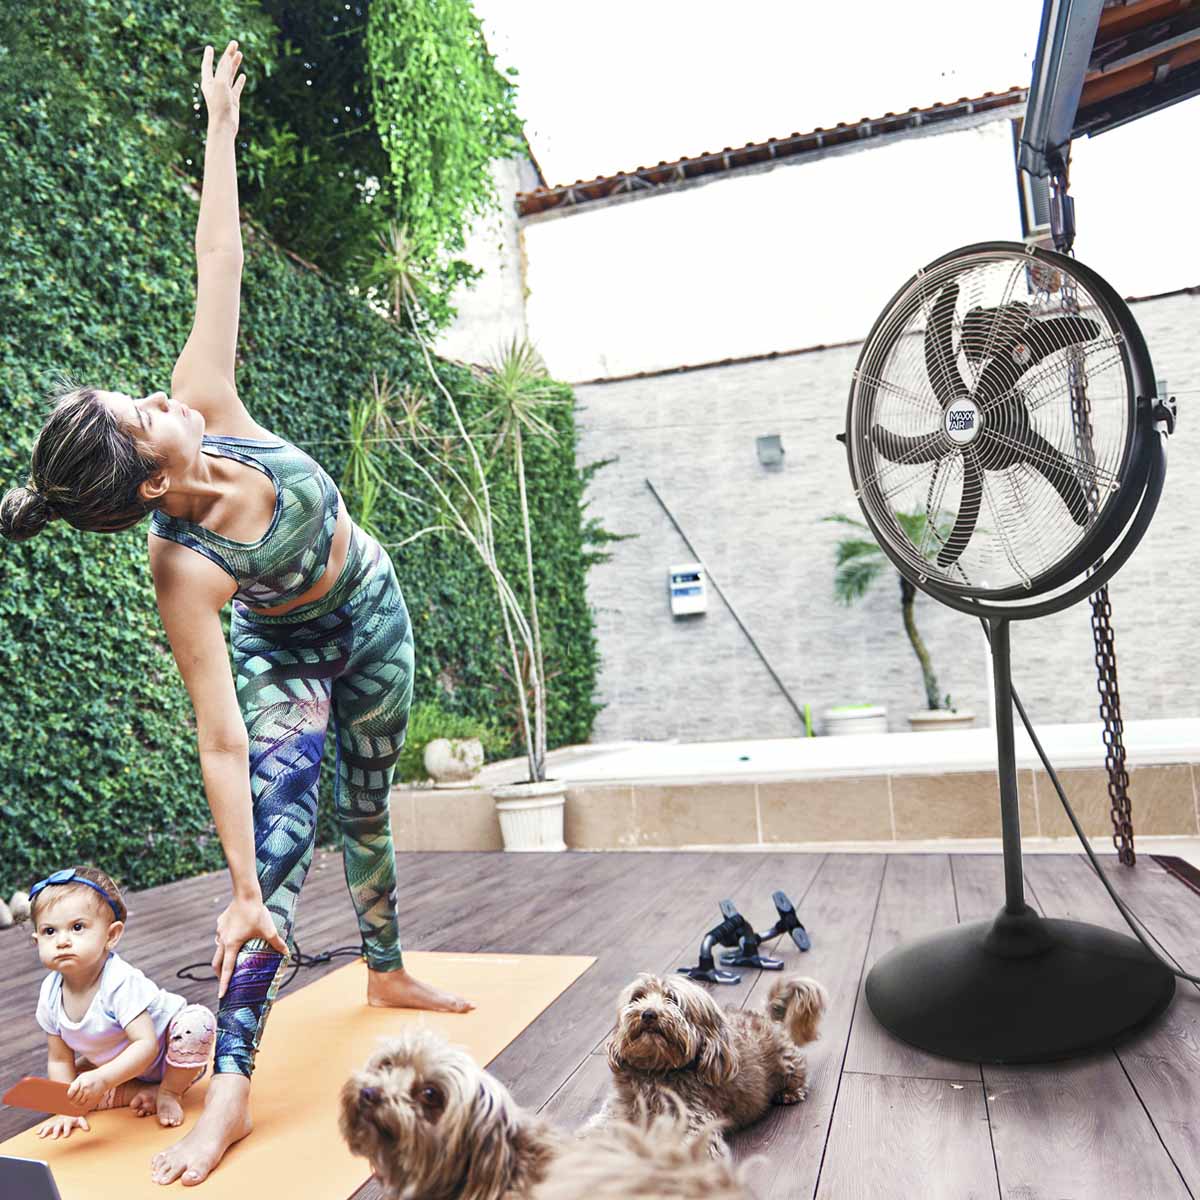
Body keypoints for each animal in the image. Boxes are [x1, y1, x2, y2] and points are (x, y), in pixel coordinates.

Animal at [588, 969, 825, 1156]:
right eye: (637, 997)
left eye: (672, 999)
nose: (648, 1014)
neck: (655, 1071)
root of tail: (764, 1015)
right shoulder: (617, 1111)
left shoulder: (692, 1122)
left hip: (787, 1064)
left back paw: (789, 1093)